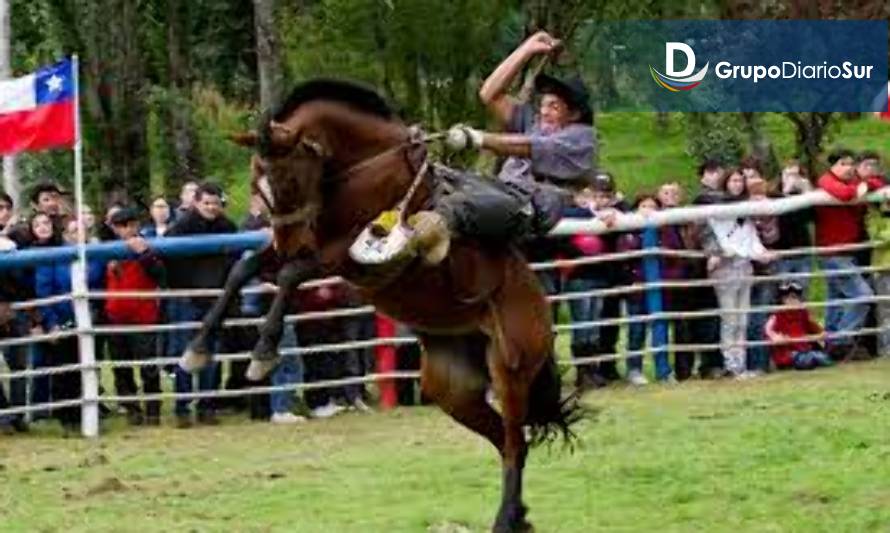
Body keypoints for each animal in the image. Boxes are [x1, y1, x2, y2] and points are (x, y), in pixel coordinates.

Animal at [184, 80, 580, 532]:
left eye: (288, 180)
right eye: (256, 185)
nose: (289, 244)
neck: (363, 169)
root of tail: (541, 309)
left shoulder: (340, 257)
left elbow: (288, 276)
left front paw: (263, 352)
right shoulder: (307, 248)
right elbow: (242, 268)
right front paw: (197, 349)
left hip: (510, 371)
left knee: (515, 444)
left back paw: (505, 520)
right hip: (451, 388)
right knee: (506, 442)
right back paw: (518, 516)